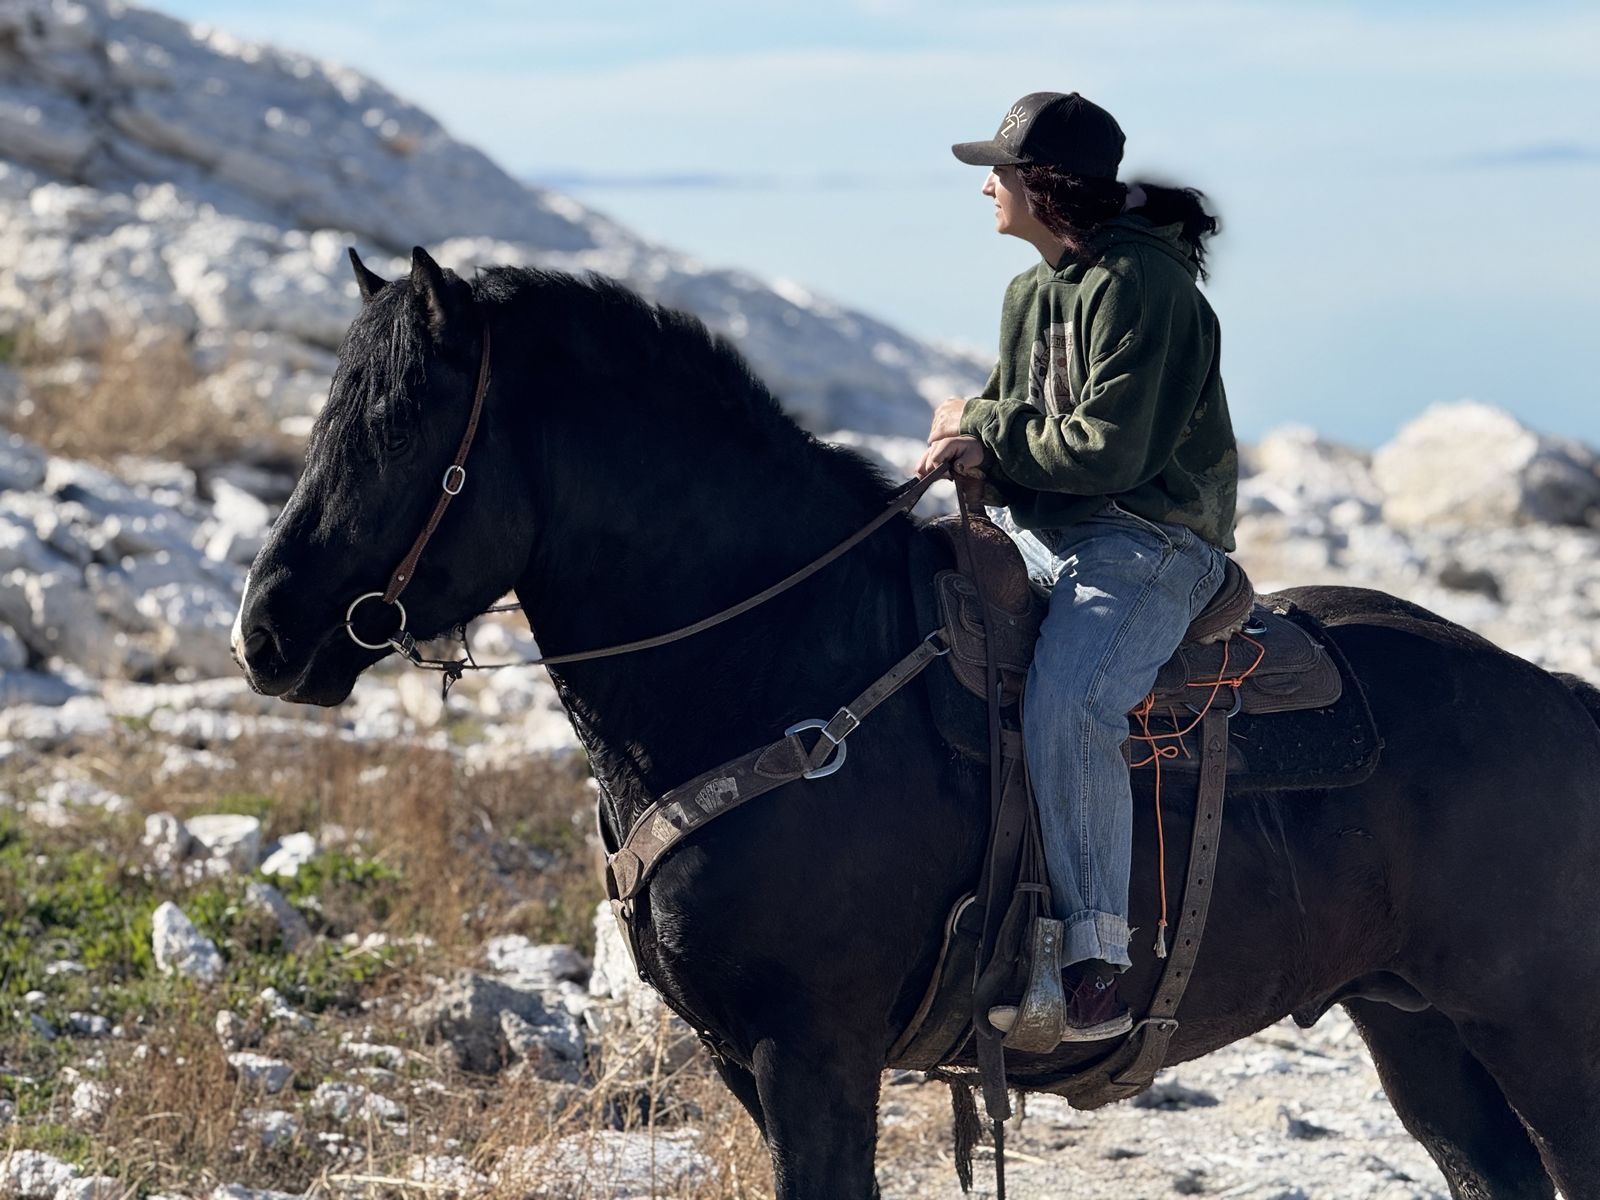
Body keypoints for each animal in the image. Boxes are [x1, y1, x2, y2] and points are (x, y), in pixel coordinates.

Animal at [233, 247, 1600, 1200]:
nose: (267, 631)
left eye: (396, 423)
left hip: (1537, 1030)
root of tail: (1556, 698)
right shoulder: (745, 1060)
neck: (777, 659)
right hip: (1417, 1029)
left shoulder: (811, 1053)